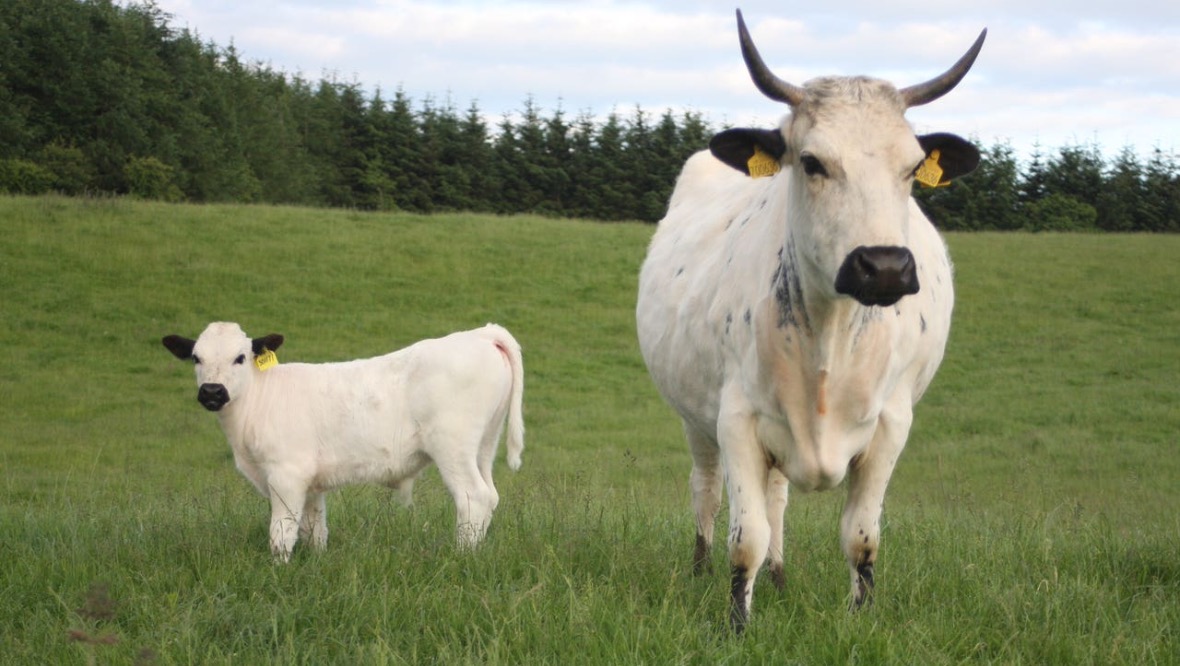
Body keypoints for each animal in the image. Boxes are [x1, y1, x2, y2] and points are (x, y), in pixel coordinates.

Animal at [161, 318, 526, 559]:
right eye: (196, 358)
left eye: (240, 357)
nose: (212, 392)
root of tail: (482, 334)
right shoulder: (310, 483)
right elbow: (314, 528)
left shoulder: (285, 474)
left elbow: (281, 533)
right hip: (484, 444)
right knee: (490, 495)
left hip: (452, 447)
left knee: (473, 497)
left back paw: (462, 556)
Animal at [641, 11, 981, 632]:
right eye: (813, 161)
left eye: (911, 168)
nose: (884, 266)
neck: (831, 335)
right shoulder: (735, 419)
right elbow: (744, 537)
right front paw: (737, 625)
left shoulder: (892, 424)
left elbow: (861, 536)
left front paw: (861, 616)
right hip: (695, 418)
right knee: (706, 490)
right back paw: (701, 568)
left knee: (777, 497)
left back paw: (778, 576)